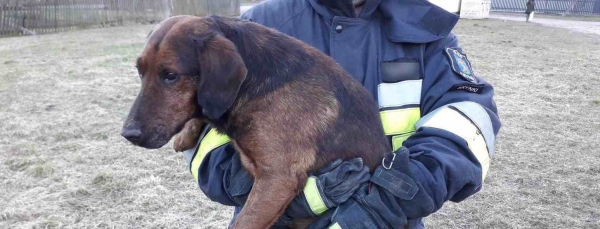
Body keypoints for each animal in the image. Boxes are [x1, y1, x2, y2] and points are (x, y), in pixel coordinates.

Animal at [122, 15, 392, 228]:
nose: (128, 134)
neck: (252, 82)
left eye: (170, 75)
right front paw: (186, 132)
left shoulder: (277, 180)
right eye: (139, 71)